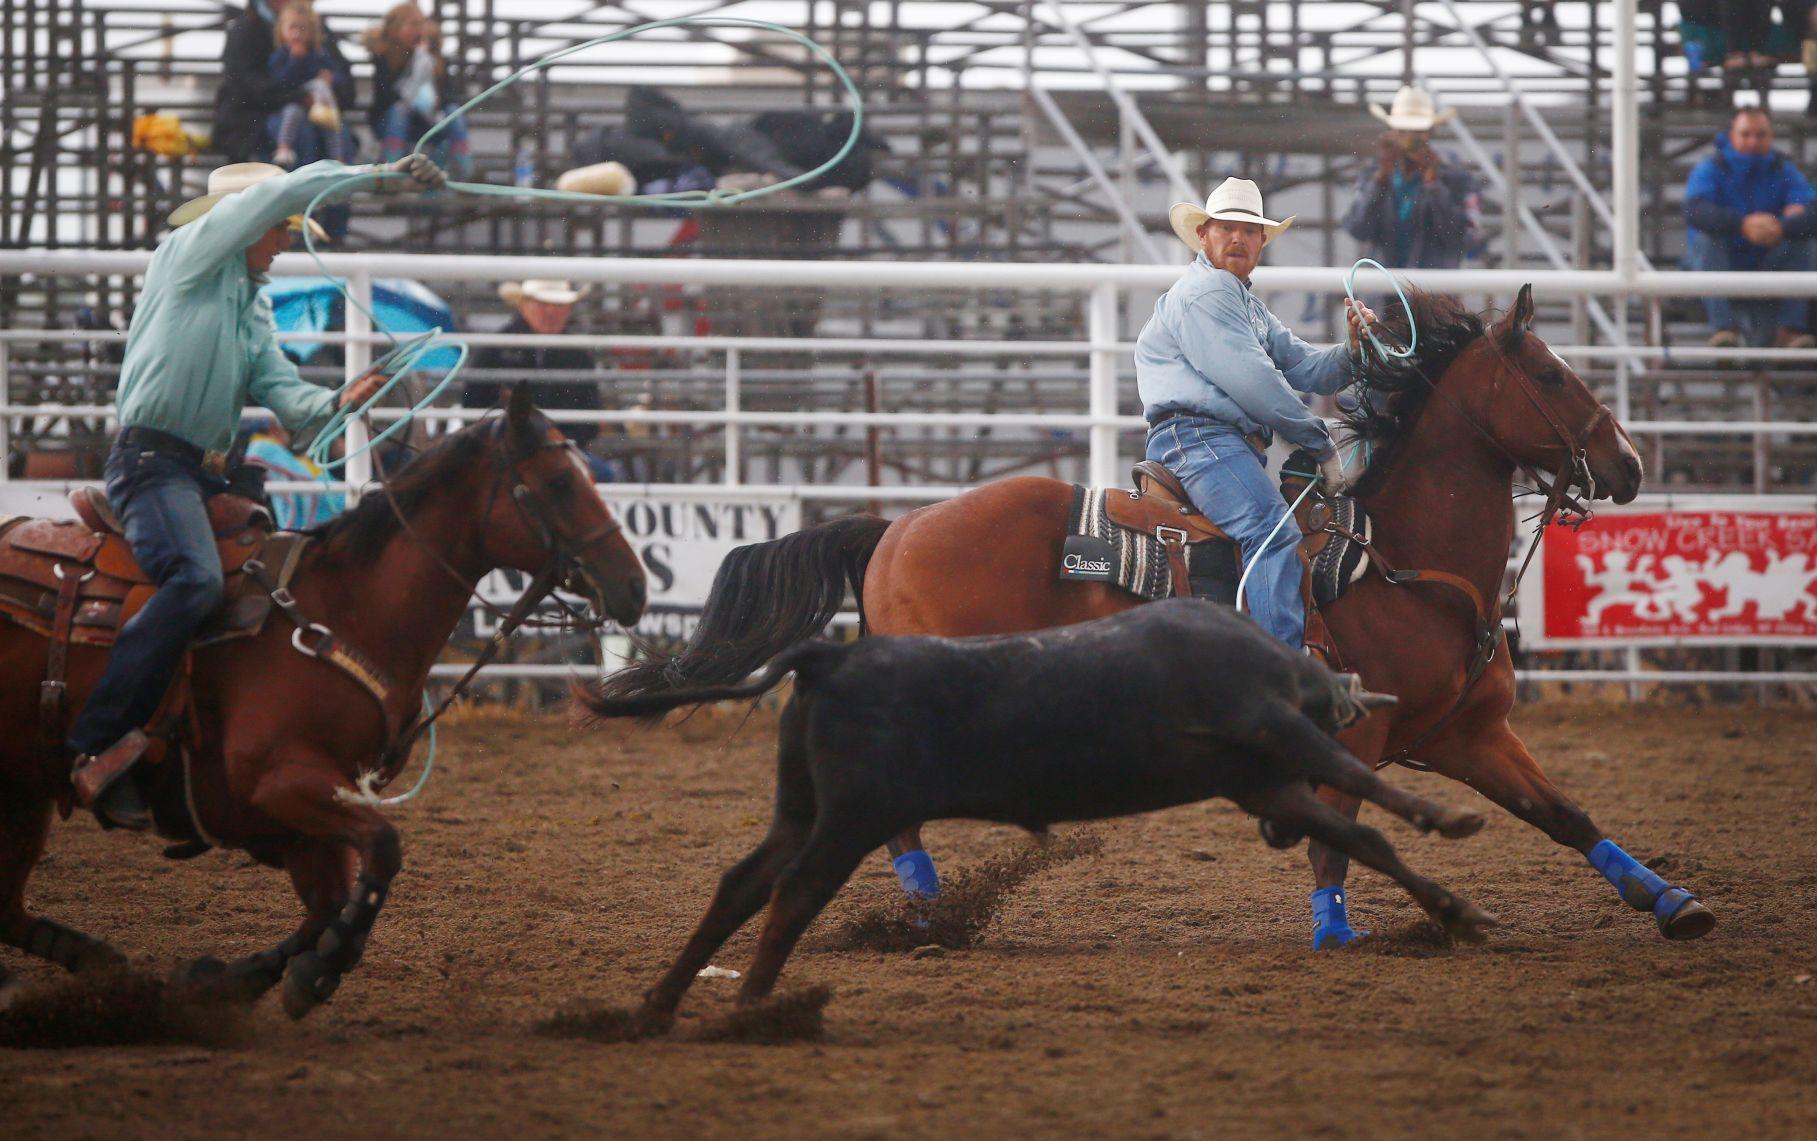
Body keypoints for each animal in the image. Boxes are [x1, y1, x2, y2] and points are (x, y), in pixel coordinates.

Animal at [0, 386, 650, 1017]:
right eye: (560, 481)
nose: (636, 587)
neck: (348, 608)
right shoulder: (280, 779)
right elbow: (381, 850)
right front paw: (315, 973)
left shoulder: (309, 813)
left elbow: (327, 904)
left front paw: (225, 980)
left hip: (26, 792)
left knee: (12, 910)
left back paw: (98, 968)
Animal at [606, 288, 1715, 952]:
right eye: (1549, 374)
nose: (1625, 465)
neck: (1404, 561)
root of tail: (901, 523)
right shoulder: (1357, 737)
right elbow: (1338, 836)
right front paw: (1334, 931)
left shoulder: (1467, 733)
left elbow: (1565, 815)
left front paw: (1671, 902)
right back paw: (925, 908)